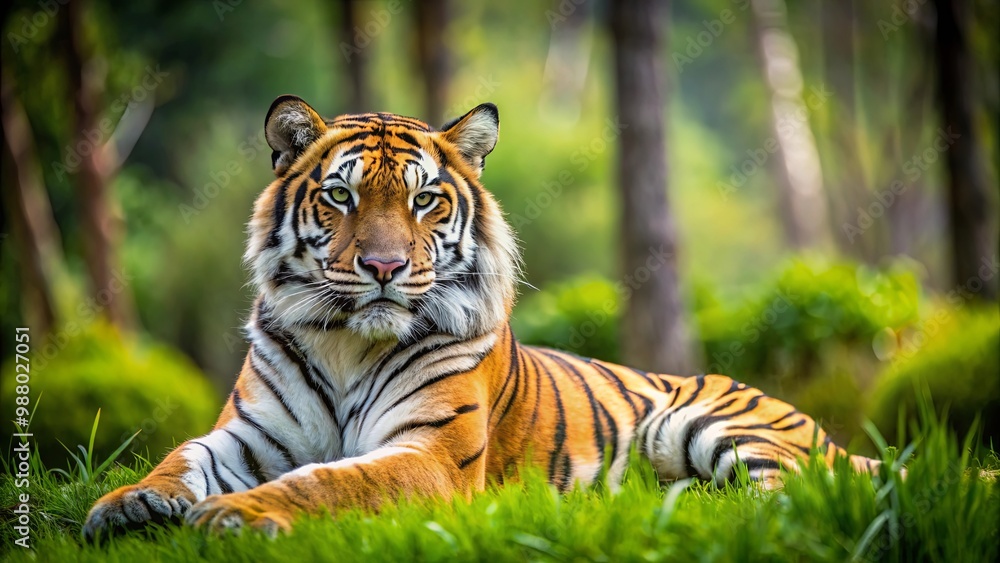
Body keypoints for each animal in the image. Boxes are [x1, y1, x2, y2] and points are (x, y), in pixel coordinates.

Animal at [83, 95, 880, 539]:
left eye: (424, 200)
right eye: (341, 196)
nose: (383, 267)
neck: (346, 344)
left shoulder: (428, 454)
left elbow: (328, 479)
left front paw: (238, 515)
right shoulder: (247, 433)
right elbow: (181, 457)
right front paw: (128, 503)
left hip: (718, 427)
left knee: (800, 493)